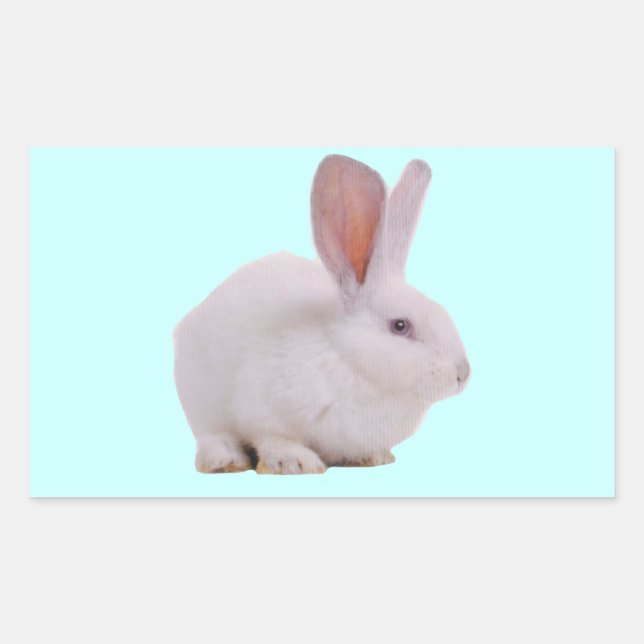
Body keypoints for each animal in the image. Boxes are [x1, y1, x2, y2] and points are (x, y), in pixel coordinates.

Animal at [173, 154, 470, 474]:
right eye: (400, 326)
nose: (463, 373)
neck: (348, 359)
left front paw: (372, 457)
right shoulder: (261, 409)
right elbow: (273, 437)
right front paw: (294, 462)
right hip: (200, 400)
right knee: (212, 435)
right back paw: (225, 460)